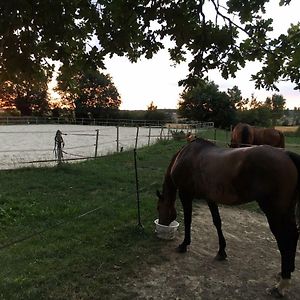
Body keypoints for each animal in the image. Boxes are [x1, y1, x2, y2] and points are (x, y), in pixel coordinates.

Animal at [156, 139, 300, 298]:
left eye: (158, 208)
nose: (162, 224)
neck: (185, 155)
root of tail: (286, 155)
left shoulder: (185, 194)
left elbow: (188, 220)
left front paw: (184, 244)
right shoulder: (210, 198)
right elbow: (217, 222)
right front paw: (221, 251)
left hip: (275, 213)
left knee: (286, 239)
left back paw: (282, 285)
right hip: (287, 211)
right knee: (293, 237)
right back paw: (284, 272)